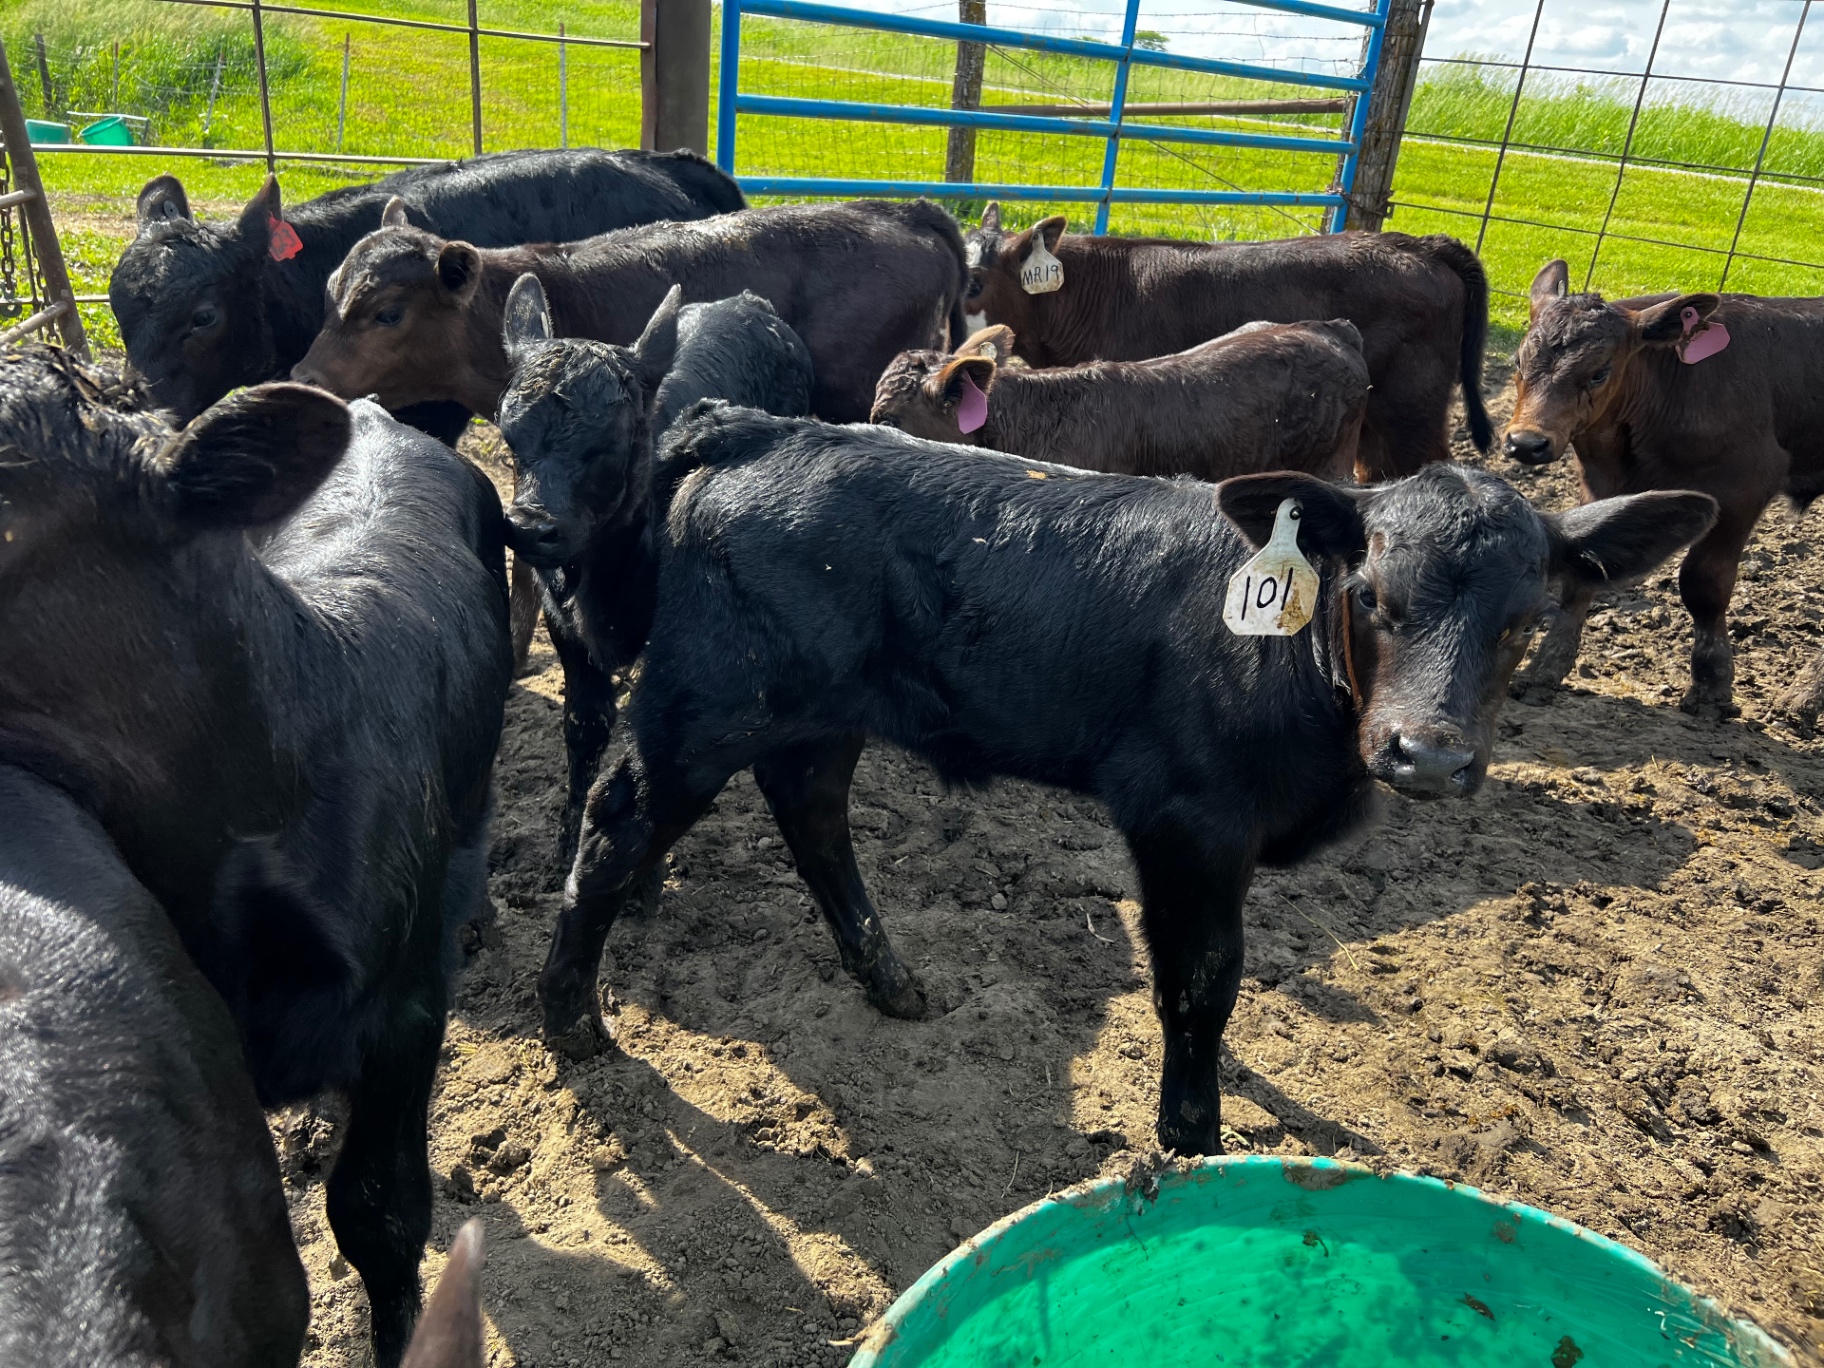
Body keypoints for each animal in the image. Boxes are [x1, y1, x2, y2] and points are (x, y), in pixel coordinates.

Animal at [496, 279, 812, 876]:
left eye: (607, 443)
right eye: (509, 440)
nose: (528, 527)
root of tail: (748, 301)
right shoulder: (563, 628)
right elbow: (585, 724)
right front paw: (567, 848)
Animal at [532, 403, 1716, 1146]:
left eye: (1525, 622)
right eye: (1372, 595)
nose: (1426, 753)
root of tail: (763, 426)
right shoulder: (1188, 821)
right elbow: (1202, 981)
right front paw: (1192, 1134)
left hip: (823, 712)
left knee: (813, 814)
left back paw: (891, 982)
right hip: (703, 702)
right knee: (618, 821)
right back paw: (572, 1021)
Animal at [1503, 259, 1824, 721]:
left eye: (1599, 372)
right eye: (1518, 360)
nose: (1526, 442)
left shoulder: (1747, 481)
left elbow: (1704, 583)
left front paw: (1711, 686)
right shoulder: (1599, 481)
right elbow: (1582, 573)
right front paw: (1543, 671)